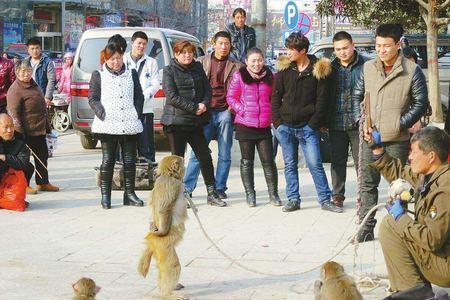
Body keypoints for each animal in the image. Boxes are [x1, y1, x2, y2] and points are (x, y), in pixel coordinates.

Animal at [136, 156, 187, 298]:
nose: (185, 165)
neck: (167, 175)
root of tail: (152, 239)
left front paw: (151, 224)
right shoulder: (173, 184)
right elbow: (163, 209)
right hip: (164, 245)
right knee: (173, 266)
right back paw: (167, 294)